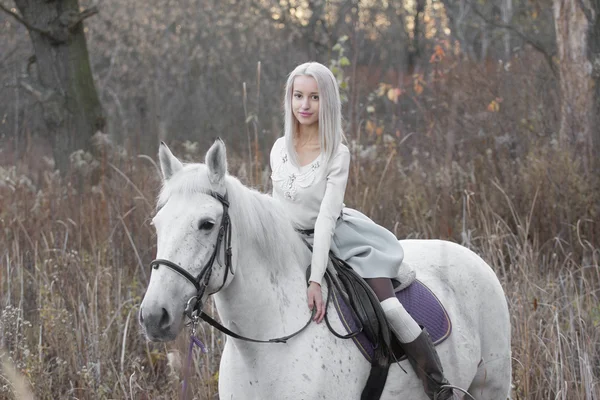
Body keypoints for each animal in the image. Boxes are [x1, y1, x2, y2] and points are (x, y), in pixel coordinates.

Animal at [139, 139, 510, 398]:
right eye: (157, 225)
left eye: (207, 224)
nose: (154, 316)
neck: (265, 346)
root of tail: (471, 256)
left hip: (491, 386)